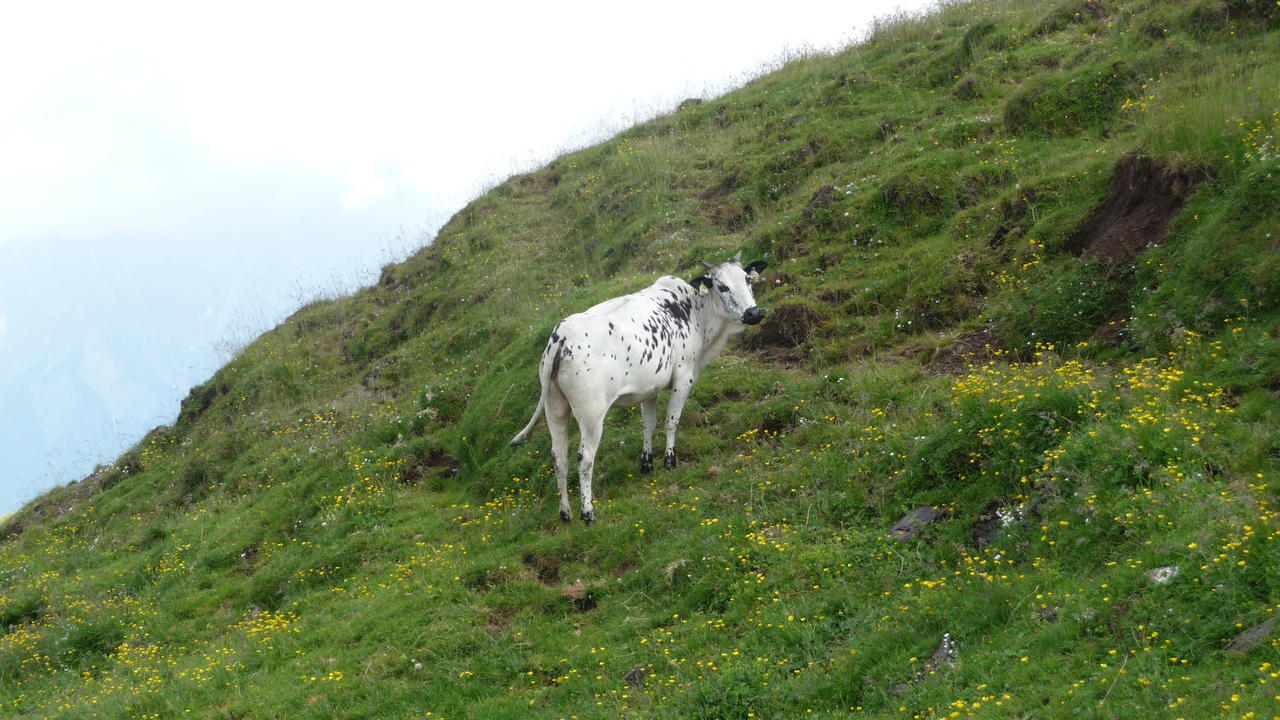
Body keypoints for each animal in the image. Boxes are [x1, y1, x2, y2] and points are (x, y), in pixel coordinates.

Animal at [509, 252, 768, 520]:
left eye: (748, 279)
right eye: (722, 286)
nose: (754, 313)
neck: (692, 310)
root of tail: (560, 337)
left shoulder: (649, 388)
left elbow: (648, 424)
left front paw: (647, 463)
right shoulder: (684, 376)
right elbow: (671, 421)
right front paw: (669, 461)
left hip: (555, 407)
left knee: (558, 456)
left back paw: (565, 513)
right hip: (591, 415)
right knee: (584, 458)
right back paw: (588, 512)